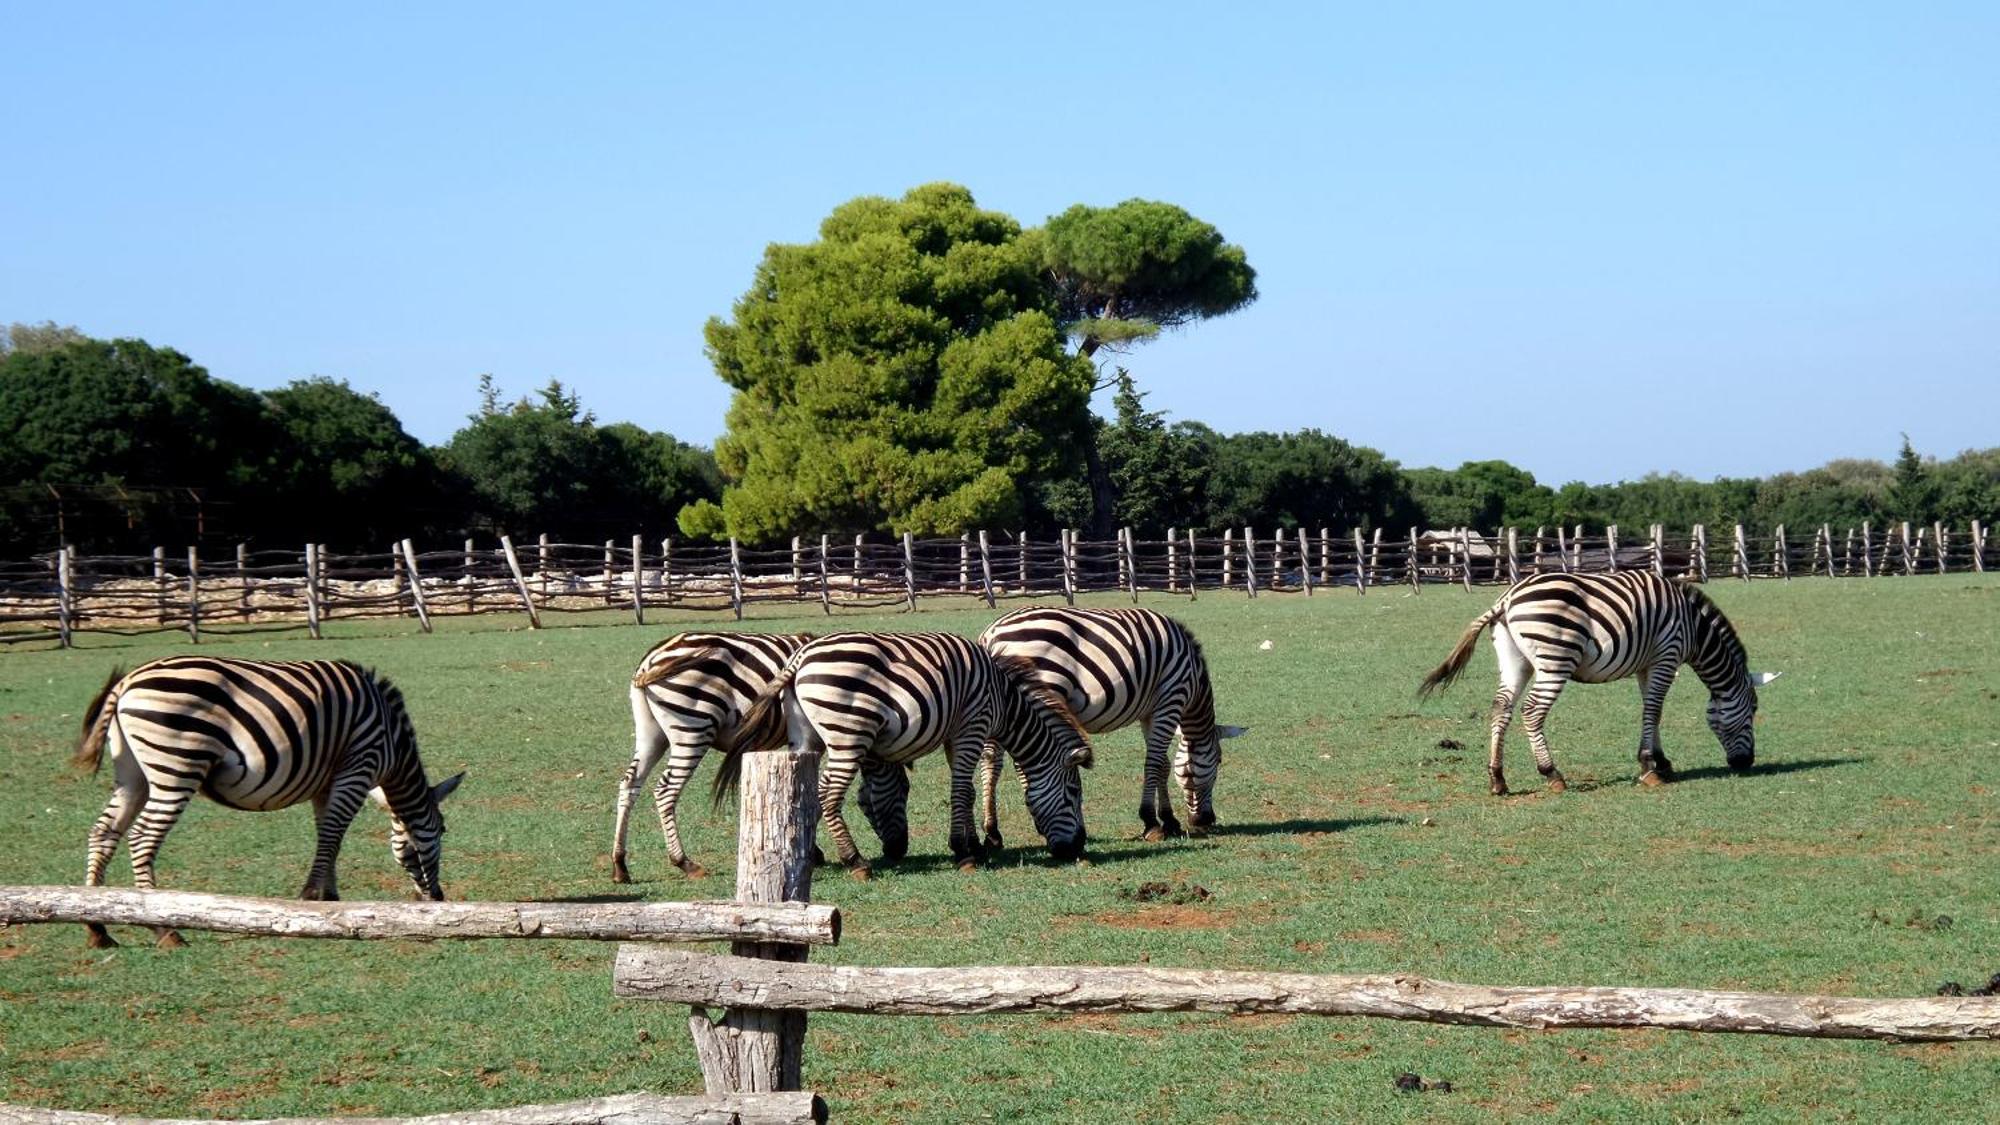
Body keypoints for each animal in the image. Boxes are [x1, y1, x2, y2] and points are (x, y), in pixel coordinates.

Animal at [72, 652, 462, 940]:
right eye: (444, 830)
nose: (438, 899)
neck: (392, 745)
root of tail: (127, 682)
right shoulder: (358, 767)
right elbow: (333, 832)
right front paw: (311, 897)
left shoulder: (328, 782)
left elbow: (330, 836)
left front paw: (329, 900)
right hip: (178, 763)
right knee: (143, 837)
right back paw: (162, 928)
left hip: (133, 773)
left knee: (104, 832)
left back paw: (96, 924)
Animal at [616, 624, 820, 880]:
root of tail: (651, 658)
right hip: (693, 728)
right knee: (666, 790)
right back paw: (683, 862)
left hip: (651, 733)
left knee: (629, 783)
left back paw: (620, 865)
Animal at [716, 632, 1096, 876]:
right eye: (1074, 793)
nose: (1077, 848)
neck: (1003, 700)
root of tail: (799, 658)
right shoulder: (972, 726)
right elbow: (961, 791)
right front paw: (964, 853)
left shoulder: (955, 736)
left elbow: (969, 791)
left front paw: (975, 845)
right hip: (848, 733)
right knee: (827, 794)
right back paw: (855, 862)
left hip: (804, 736)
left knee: (805, 790)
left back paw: (809, 855)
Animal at [976, 608, 1240, 844]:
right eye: (1219, 761)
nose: (1207, 820)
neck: (1192, 674)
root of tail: (991, 633)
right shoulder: (1172, 697)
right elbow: (1154, 763)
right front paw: (1151, 822)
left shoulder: (1150, 712)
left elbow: (1163, 765)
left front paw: (1169, 820)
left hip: (1004, 704)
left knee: (992, 763)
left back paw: (993, 833)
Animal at [1424, 568, 1784, 796]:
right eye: (1753, 712)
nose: (1745, 764)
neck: (1694, 628)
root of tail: (1508, 598)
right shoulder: (1667, 655)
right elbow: (1653, 710)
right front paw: (1649, 768)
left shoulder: (1648, 664)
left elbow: (1654, 712)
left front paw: (1662, 761)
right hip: (1556, 658)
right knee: (1532, 711)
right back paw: (1552, 774)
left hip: (1515, 660)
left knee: (1502, 707)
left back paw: (1498, 779)